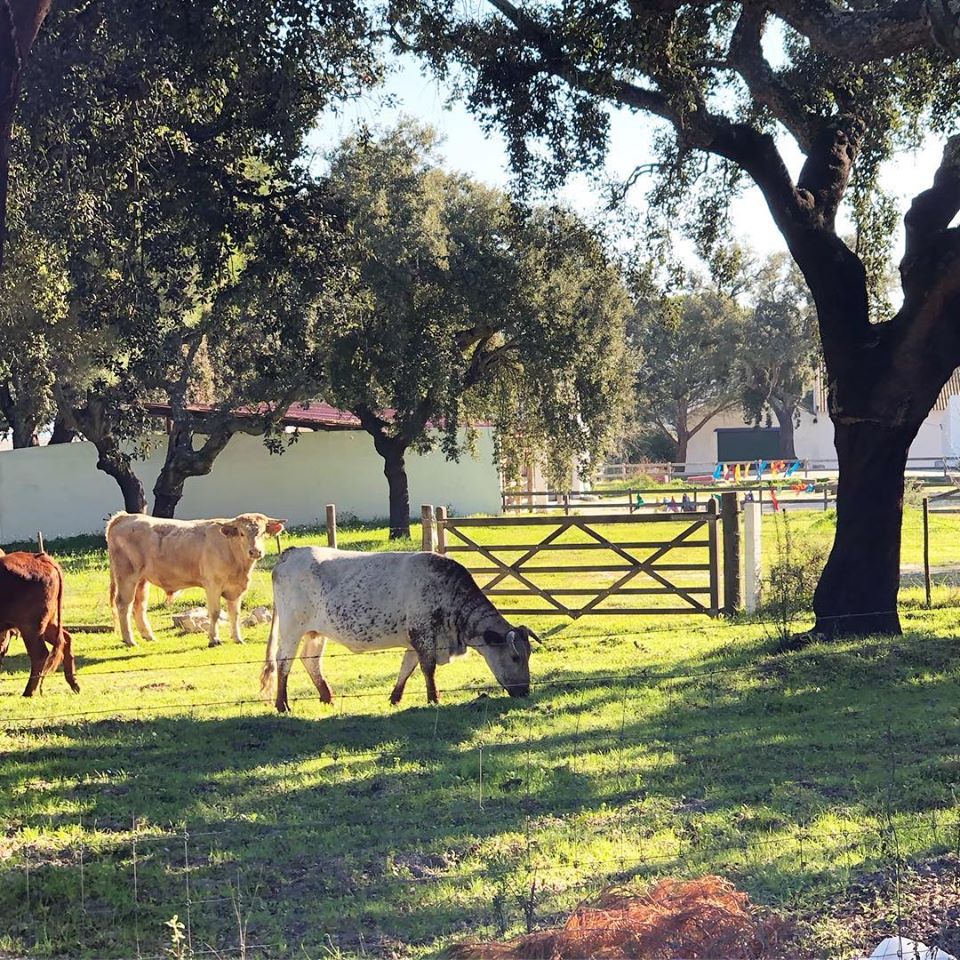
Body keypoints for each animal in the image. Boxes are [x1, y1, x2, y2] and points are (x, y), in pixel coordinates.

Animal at [0, 548, 79, 696]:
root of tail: (41, 558)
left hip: (31, 627)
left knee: (39, 654)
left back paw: (29, 692)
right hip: (47, 623)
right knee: (66, 639)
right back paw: (74, 684)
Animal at [107, 512, 284, 648]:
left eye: (262, 533)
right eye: (241, 533)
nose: (255, 551)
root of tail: (125, 516)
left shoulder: (235, 589)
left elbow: (235, 613)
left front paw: (238, 638)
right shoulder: (213, 585)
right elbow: (214, 612)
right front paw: (214, 639)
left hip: (141, 580)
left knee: (139, 605)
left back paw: (148, 636)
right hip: (127, 576)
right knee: (124, 605)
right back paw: (130, 640)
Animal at [258, 548, 536, 712]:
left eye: (528, 655)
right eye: (515, 657)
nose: (524, 692)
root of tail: (291, 553)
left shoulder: (415, 640)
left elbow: (407, 668)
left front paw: (395, 697)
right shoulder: (423, 634)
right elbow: (427, 668)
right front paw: (434, 699)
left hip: (315, 632)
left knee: (311, 660)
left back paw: (328, 696)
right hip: (292, 628)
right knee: (284, 662)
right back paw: (282, 704)